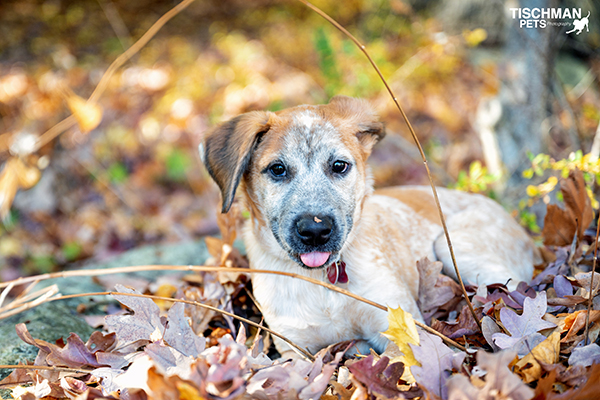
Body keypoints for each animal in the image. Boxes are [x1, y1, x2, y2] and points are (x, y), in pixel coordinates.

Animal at [200, 96, 540, 356]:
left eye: (339, 166)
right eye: (277, 169)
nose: (315, 231)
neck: (323, 284)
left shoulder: (403, 326)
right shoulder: (293, 348)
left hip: (458, 248)